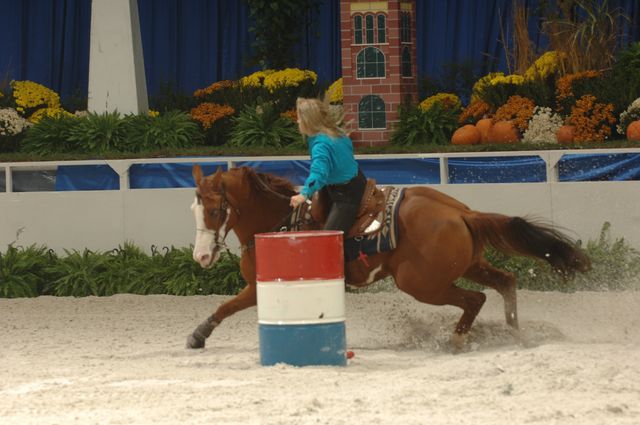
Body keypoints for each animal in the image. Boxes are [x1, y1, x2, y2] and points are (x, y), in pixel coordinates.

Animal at [186, 164, 592, 350]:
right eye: (194, 209)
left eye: (215, 210)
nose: (201, 256)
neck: (279, 220)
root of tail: (462, 212)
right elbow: (225, 307)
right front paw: (198, 335)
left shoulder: (260, 287)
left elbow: (226, 306)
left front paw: (197, 336)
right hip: (469, 265)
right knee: (506, 282)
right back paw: (517, 335)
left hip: (421, 283)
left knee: (475, 299)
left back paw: (455, 342)